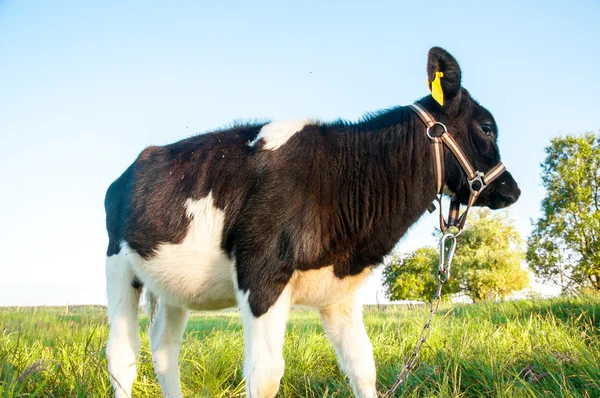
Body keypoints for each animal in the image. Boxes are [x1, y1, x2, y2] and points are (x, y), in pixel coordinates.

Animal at [103, 48, 520, 396]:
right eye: (487, 128)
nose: (512, 189)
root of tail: (136, 164)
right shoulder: (261, 276)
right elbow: (265, 376)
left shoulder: (339, 295)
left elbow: (362, 367)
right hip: (119, 267)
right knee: (122, 356)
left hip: (172, 286)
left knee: (164, 351)